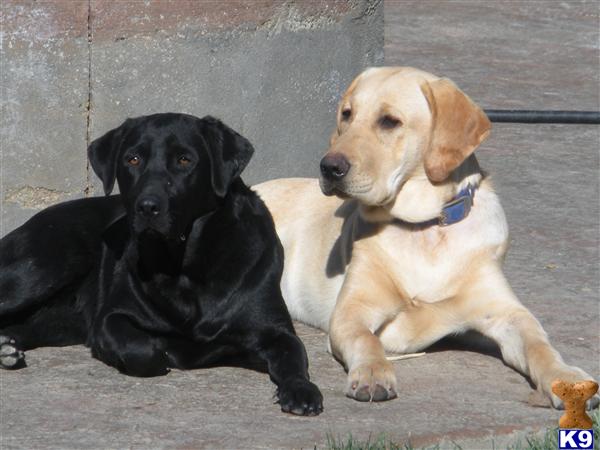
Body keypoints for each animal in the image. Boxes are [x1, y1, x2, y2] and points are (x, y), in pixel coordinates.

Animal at [0, 114, 324, 416]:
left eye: (184, 160)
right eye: (132, 159)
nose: (147, 207)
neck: (187, 265)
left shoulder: (276, 330)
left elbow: (294, 355)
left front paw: (301, 390)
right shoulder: (110, 317)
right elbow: (141, 349)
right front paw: (161, 353)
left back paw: (7, 345)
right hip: (41, 268)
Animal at [254, 66, 600, 408]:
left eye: (389, 121)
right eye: (347, 114)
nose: (328, 167)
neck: (425, 228)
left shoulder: (507, 315)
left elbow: (539, 344)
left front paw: (566, 377)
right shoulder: (350, 312)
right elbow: (366, 340)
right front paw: (372, 372)